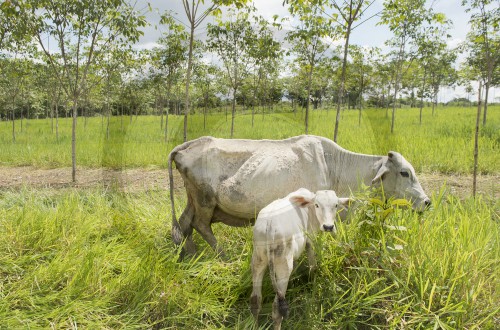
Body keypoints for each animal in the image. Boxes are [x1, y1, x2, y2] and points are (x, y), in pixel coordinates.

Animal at [249, 188, 348, 330]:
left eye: (335, 205)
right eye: (317, 205)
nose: (328, 227)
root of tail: (270, 226)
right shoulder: (310, 239)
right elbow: (313, 265)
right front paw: (312, 280)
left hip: (258, 260)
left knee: (255, 299)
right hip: (283, 266)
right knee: (276, 308)